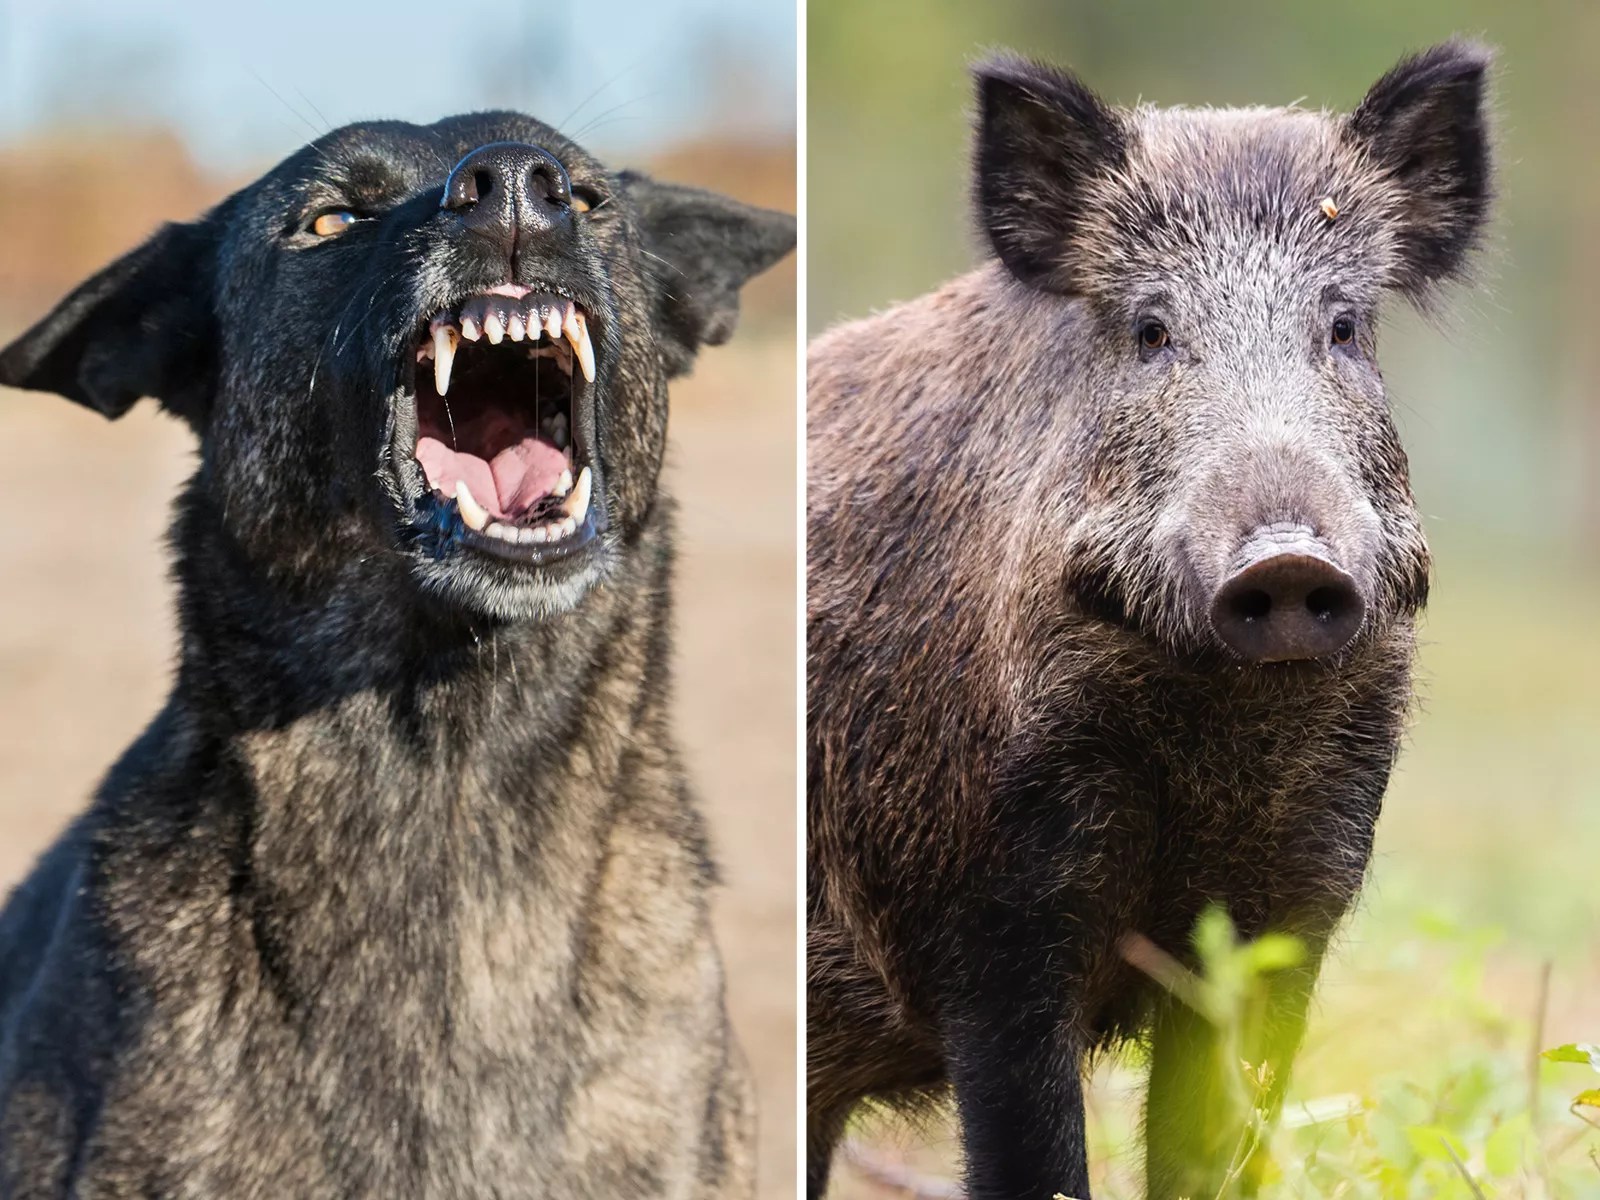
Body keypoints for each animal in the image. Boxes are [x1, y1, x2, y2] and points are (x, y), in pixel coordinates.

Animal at [806, 40, 1492, 1200]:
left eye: (1344, 325)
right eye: (1152, 329)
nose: (1288, 559)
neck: (1218, 741)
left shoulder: (1290, 912)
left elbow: (1216, 1145)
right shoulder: (983, 918)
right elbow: (1036, 1155)